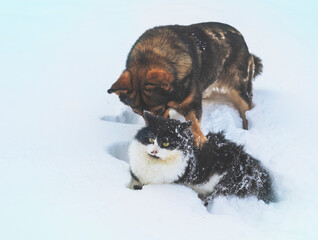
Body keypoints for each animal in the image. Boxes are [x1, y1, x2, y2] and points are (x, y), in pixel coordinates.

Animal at [108, 22, 262, 146]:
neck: (152, 56)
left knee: (246, 110)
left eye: (159, 110)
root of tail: (241, 37)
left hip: (240, 89)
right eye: (137, 113)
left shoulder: (191, 104)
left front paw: (199, 139)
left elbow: (194, 122)